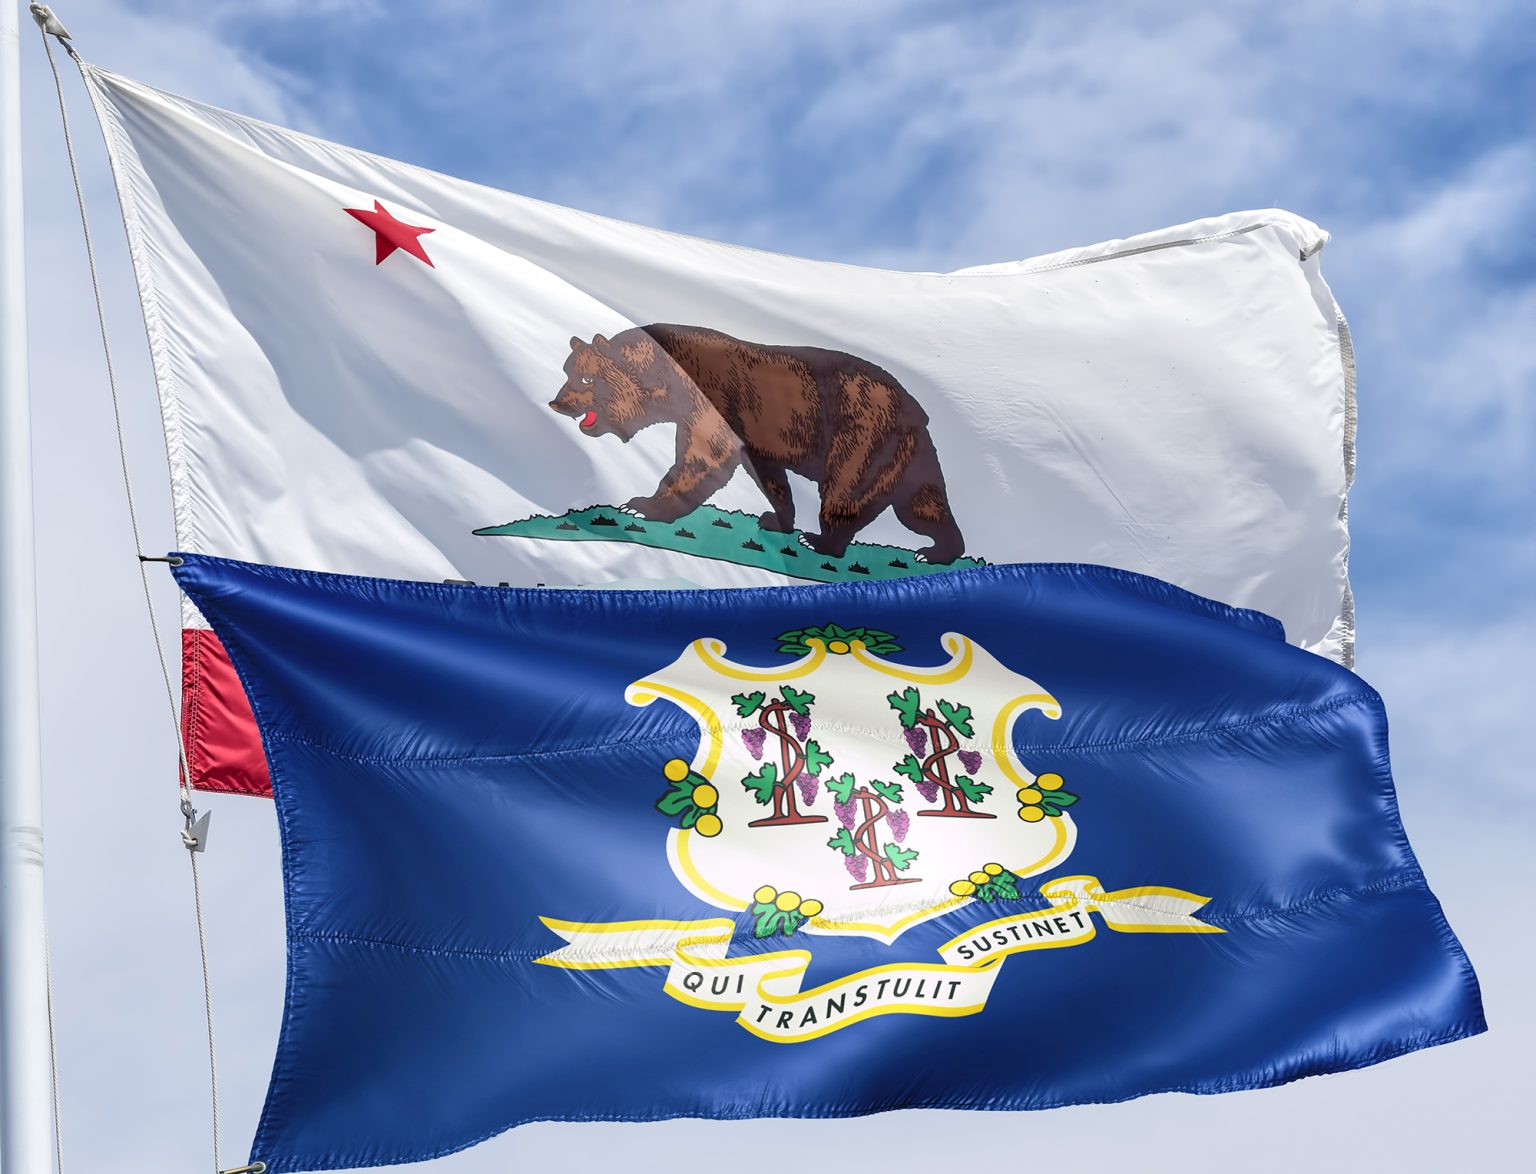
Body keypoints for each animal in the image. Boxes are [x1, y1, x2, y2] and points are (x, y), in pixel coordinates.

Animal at [546, 322, 964, 565]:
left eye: (586, 379)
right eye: (568, 371)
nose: (557, 402)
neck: (664, 379)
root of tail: (916, 409)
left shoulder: (708, 400)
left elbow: (701, 456)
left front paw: (641, 505)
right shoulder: (755, 437)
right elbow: (769, 476)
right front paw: (776, 518)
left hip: (862, 433)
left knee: (846, 490)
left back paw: (822, 542)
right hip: (909, 457)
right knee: (922, 505)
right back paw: (939, 551)